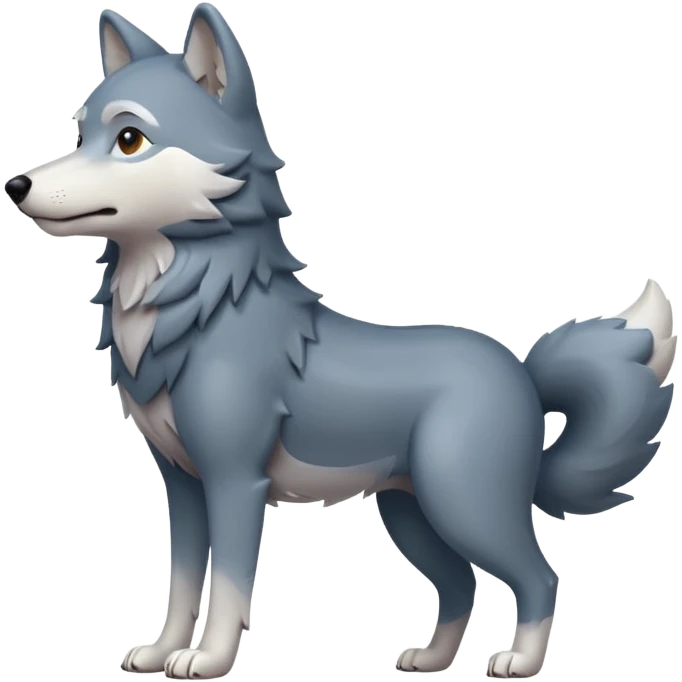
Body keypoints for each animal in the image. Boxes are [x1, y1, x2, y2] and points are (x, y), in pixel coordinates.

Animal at [3, 4, 677, 679]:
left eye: (129, 140)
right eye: (78, 134)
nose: (16, 186)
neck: (198, 312)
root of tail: (523, 372)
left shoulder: (234, 481)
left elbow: (228, 587)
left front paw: (210, 659)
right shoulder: (182, 485)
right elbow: (185, 581)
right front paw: (161, 651)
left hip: (463, 503)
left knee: (540, 577)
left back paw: (520, 661)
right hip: (410, 513)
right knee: (461, 585)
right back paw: (431, 659)